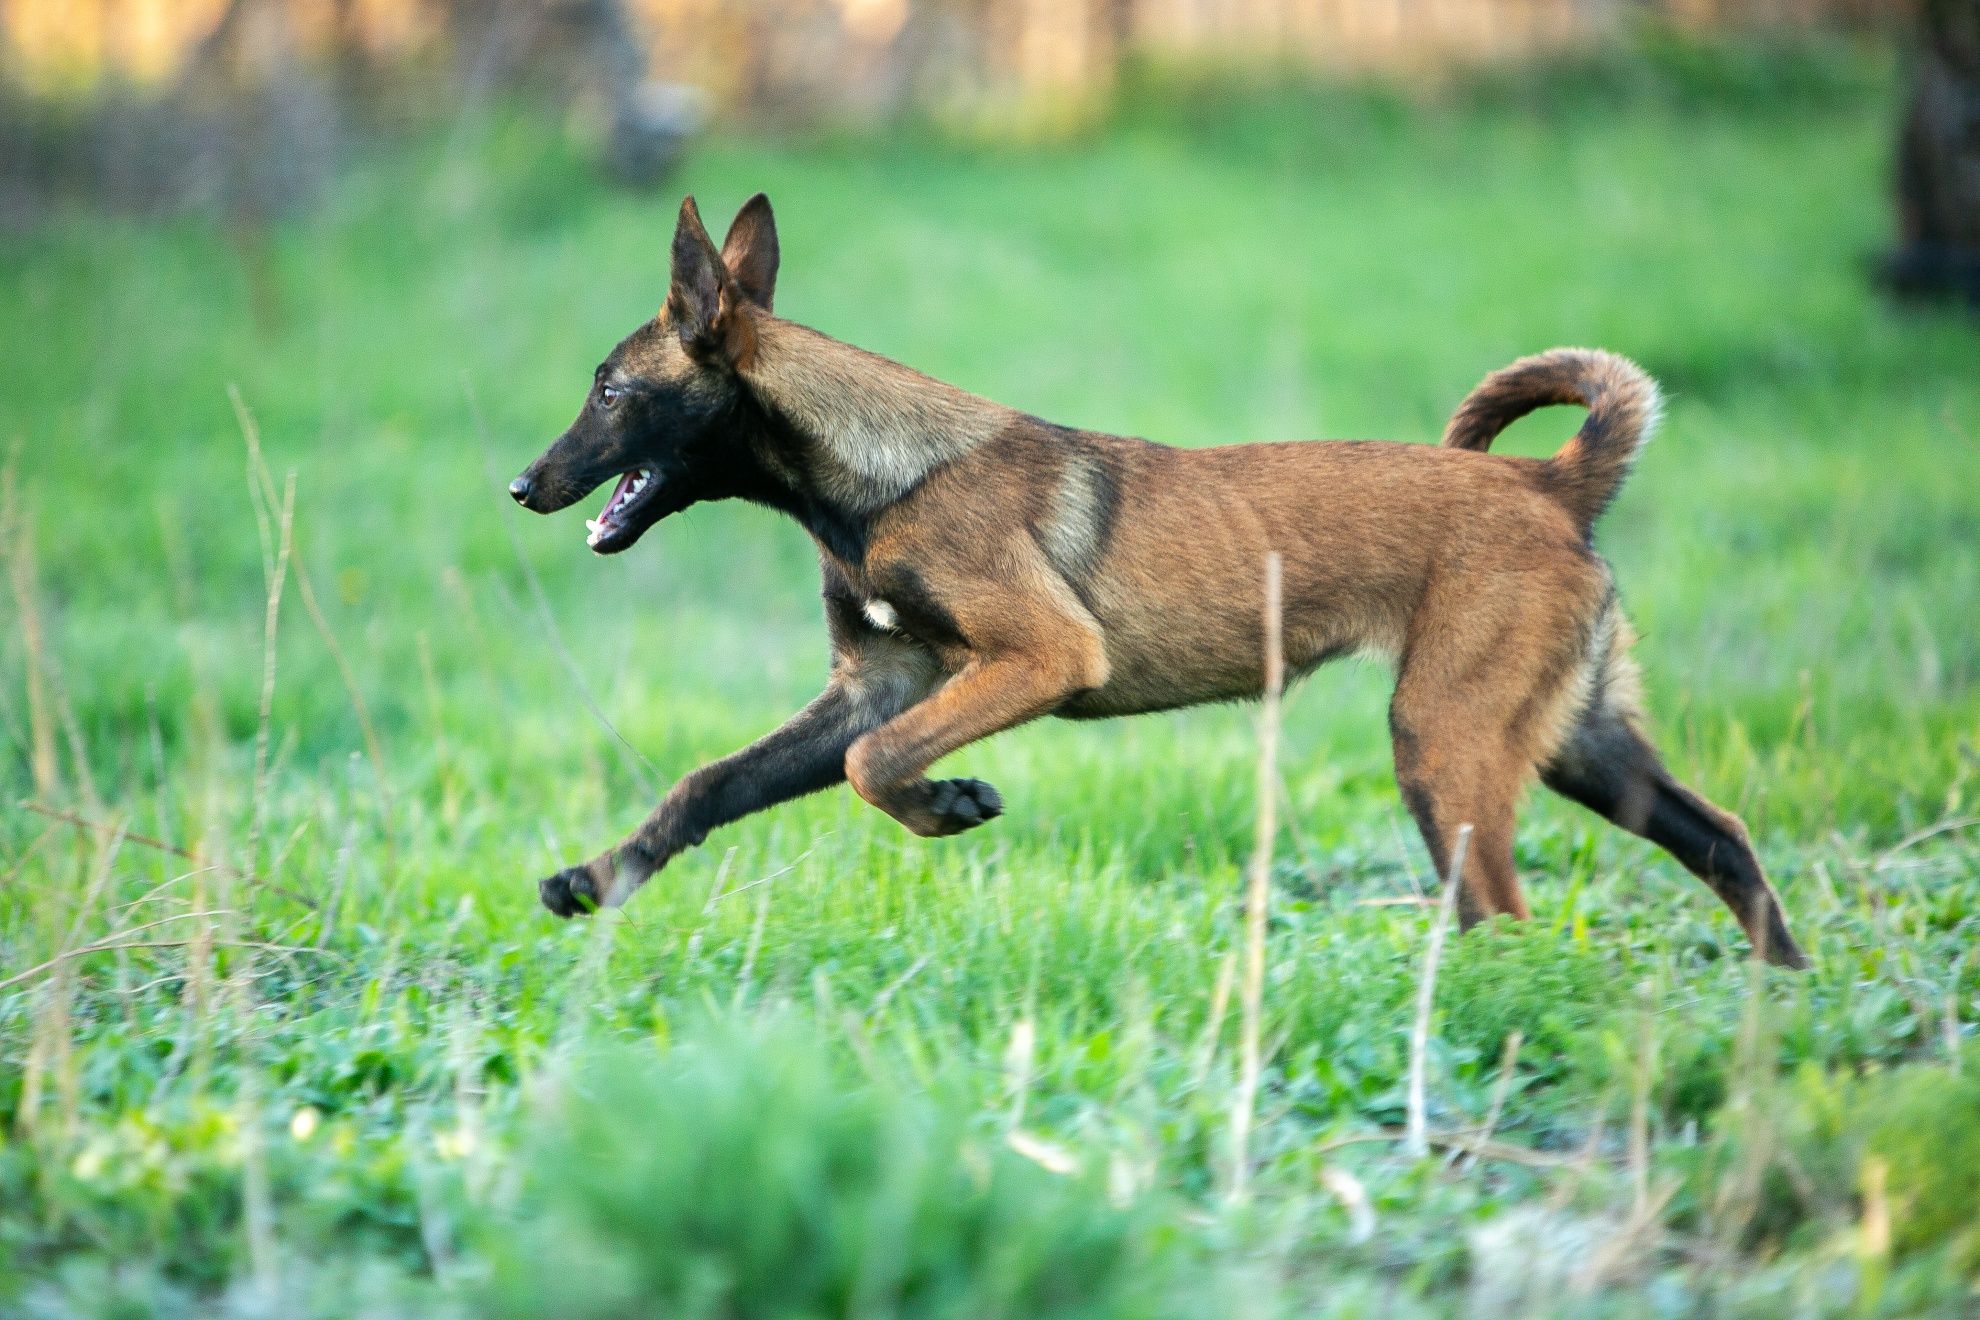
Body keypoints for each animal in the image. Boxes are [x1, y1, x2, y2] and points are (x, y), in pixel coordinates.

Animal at [506, 190, 1813, 969]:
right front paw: (600, 878)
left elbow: (876, 767)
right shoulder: (875, 683)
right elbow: (711, 785)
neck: (879, 473)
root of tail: (1552, 485)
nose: (520, 486)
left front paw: (949, 804)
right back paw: (1785, 999)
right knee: (1722, 842)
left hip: (1445, 744)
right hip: (1575, 740)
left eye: (609, 393)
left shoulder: (1034, 659)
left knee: (1504, 912)